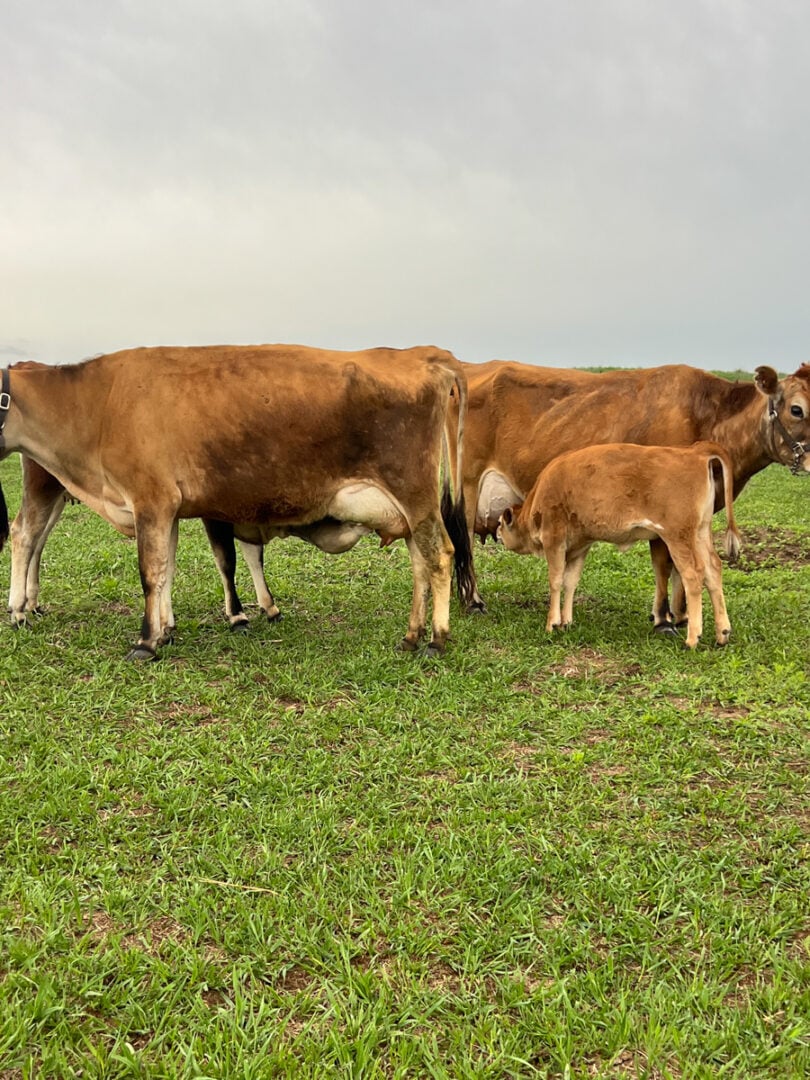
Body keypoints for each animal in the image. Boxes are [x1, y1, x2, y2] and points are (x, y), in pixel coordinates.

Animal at [0, 344, 475, 659]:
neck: (99, 403)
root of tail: (424, 354)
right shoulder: (168, 508)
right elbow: (168, 569)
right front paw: (167, 631)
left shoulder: (151, 500)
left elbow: (151, 573)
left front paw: (146, 641)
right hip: (406, 509)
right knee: (420, 561)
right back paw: (412, 635)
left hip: (413, 493)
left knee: (439, 555)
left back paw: (436, 640)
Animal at [450, 360, 810, 624]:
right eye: (797, 409)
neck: (710, 416)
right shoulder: (663, 515)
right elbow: (664, 564)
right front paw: (664, 619)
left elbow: (680, 567)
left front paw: (680, 615)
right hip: (466, 484)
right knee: (463, 542)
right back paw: (473, 601)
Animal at [498, 442, 742, 649]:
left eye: (500, 523)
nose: (498, 536)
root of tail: (694, 452)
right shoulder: (580, 546)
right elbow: (571, 582)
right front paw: (567, 621)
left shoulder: (554, 539)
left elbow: (556, 580)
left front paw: (552, 623)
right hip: (700, 533)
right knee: (713, 569)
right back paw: (722, 634)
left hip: (678, 537)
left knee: (693, 574)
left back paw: (692, 639)